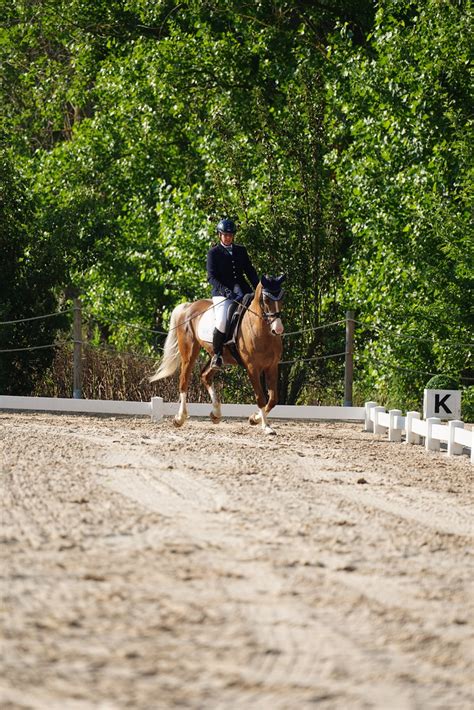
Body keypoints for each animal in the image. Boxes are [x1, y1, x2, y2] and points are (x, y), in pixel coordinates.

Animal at [151, 276, 286, 436]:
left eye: (281, 297)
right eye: (265, 299)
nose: (278, 329)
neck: (262, 331)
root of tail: (188, 307)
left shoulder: (272, 366)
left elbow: (273, 399)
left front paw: (254, 419)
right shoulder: (252, 368)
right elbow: (261, 398)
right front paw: (265, 426)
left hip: (217, 357)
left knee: (205, 375)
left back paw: (215, 414)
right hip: (189, 354)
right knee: (184, 381)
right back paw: (180, 418)